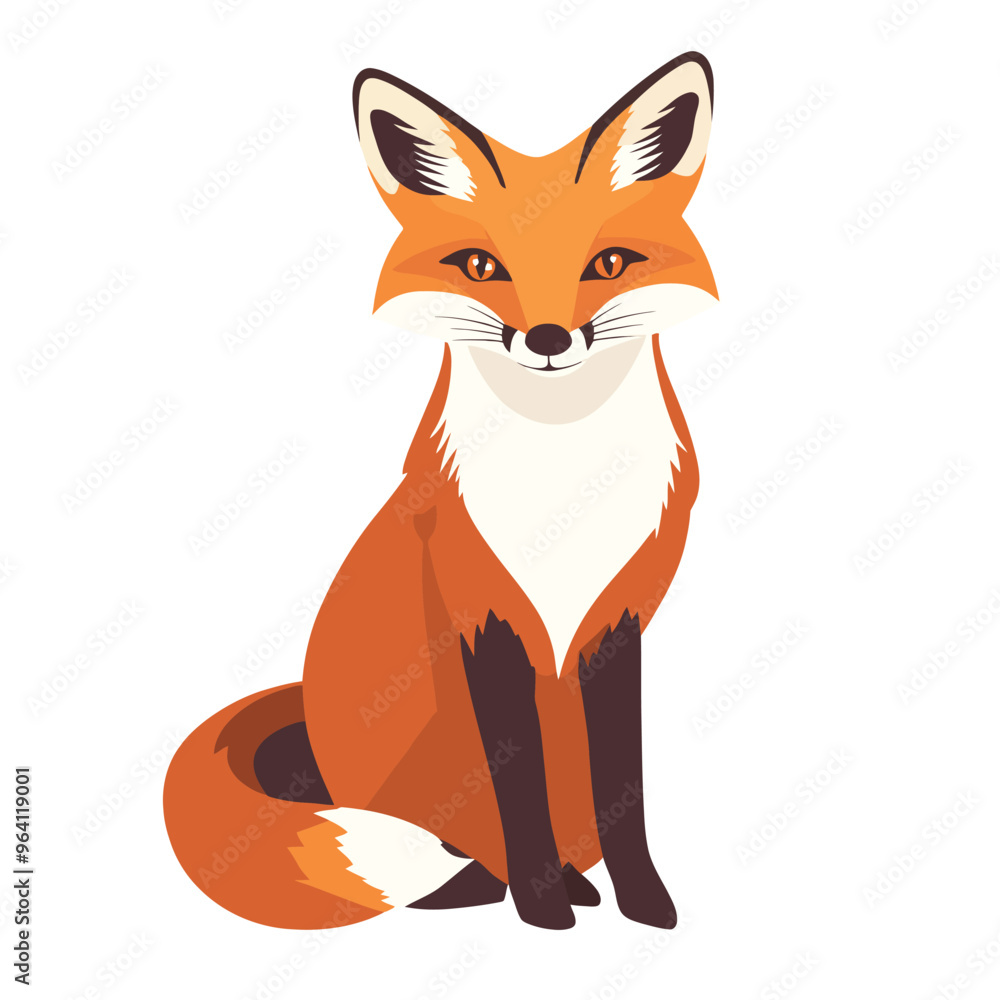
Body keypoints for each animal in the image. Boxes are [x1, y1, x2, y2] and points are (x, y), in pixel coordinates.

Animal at [164, 51, 717, 932]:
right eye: (482, 267)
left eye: (608, 264)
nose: (549, 338)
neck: (559, 480)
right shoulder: (481, 611)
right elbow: (516, 782)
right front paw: (542, 908)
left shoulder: (617, 616)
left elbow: (623, 786)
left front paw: (644, 902)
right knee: (458, 864)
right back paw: (508, 884)